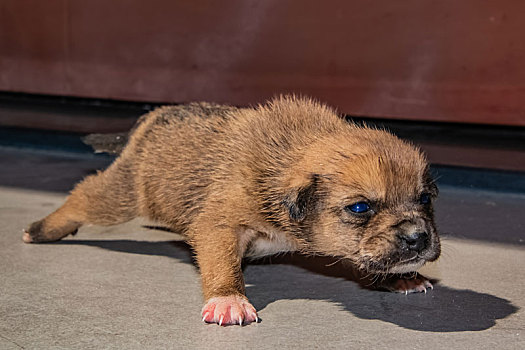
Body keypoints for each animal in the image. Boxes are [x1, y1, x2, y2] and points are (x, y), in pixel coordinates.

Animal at [25, 95, 442, 326]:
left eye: (425, 199)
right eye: (360, 207)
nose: (418, 238)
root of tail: (151, 117)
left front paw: (400, 278)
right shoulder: (220, 224)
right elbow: (223, 264)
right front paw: (228, 299)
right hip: (125, 192)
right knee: (84, 195)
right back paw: (43, 229)